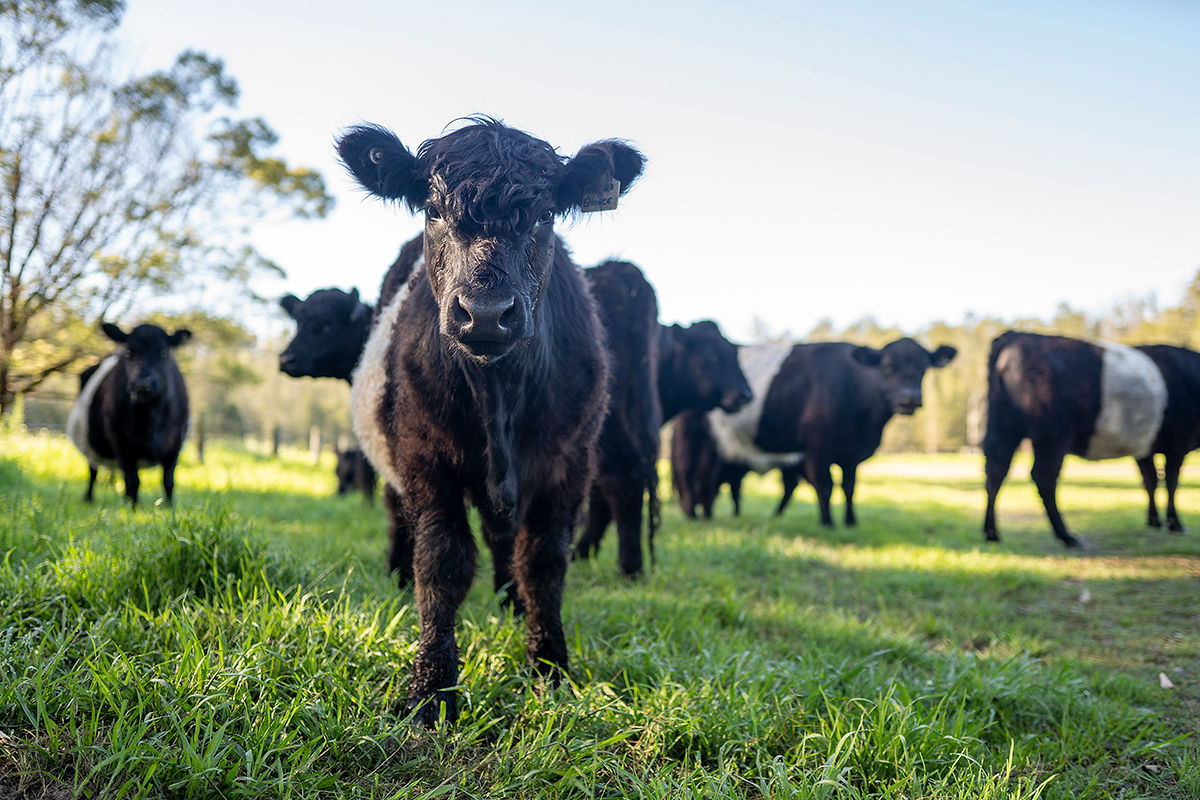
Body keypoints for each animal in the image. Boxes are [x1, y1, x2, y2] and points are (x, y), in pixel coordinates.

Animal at [66, 322, 191, 507]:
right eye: (128, 352)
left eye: (163, 352)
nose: (142, 384)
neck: (151, 416)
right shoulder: (122, 442)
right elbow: (133, 481)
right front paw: (134, 509)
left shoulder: (175, 443)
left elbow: (168, 481)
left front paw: (170, 508)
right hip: (89, 442)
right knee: (94, 471)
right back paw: (89, 498)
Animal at [337, 117, 643, 726]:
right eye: (432, 209)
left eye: (546, 214)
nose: (485, 313)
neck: (498, 389)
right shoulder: (425, 459)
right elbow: (443, 562)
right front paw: (432, 687)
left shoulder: (570, 464)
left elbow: (544, 561)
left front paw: (549, 668)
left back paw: (511, 603)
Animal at [701, 337, 956, 525]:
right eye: (888, 367)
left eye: (924, 368)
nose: (909, 398)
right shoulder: (817, 449)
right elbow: (825, 486)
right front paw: (827, 522)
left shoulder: (851, 455)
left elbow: (849, 487)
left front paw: (851, 521)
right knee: (708, 478)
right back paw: (707, 513)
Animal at [982, 330, 1200, 547]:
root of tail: (1017, 335)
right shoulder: (1177, 442)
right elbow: (1171, 482)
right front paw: (1175, 523)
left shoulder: (1145, 447)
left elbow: (1150, 480)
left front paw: (1154, 520)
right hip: (1052, 434)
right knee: (1044, 477)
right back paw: (1066, 536)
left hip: (1005, 427)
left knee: (996, 471)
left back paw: (991, 532)